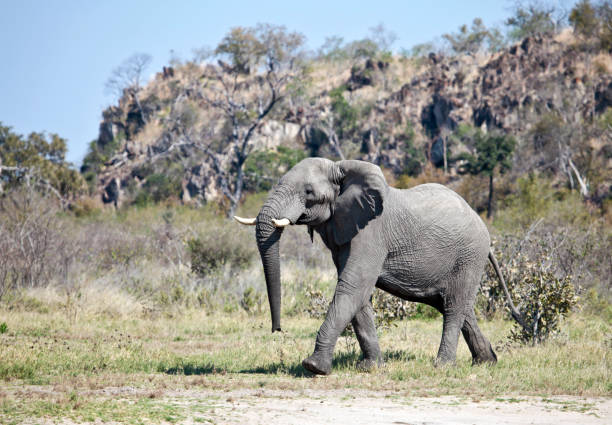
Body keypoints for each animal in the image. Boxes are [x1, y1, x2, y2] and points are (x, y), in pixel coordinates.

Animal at [235, 158, 524, 374]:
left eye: (308, 192)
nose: (277, 329)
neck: (341, 168)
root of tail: (485, 230)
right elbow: (359, 296)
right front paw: (370, 368)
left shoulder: (371, 233)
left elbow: (353, 286)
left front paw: (313, 367)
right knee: (458, 306)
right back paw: (486, 363)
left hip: (469, 255)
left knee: (454, 307)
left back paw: (443, 366)